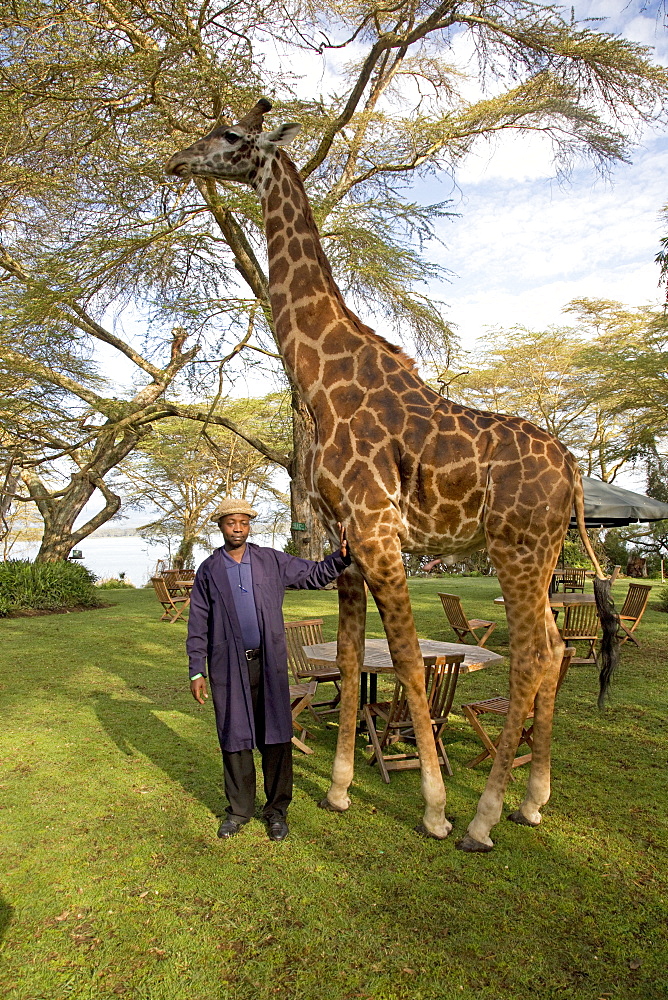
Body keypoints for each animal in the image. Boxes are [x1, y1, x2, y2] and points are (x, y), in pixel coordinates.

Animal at [166, 99, 616, 852]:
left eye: (229, 135)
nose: (177, 159)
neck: (324, 384)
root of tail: (576, 472)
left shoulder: (378, 531)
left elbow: (406, 659)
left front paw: (433, 809)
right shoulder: (343, 541)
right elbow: (351, 660)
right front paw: (340, 791)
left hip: (516, 548)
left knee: (531, 655)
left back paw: (483, 820)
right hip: (545, 551)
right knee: (555, 650)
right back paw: (531, 803)